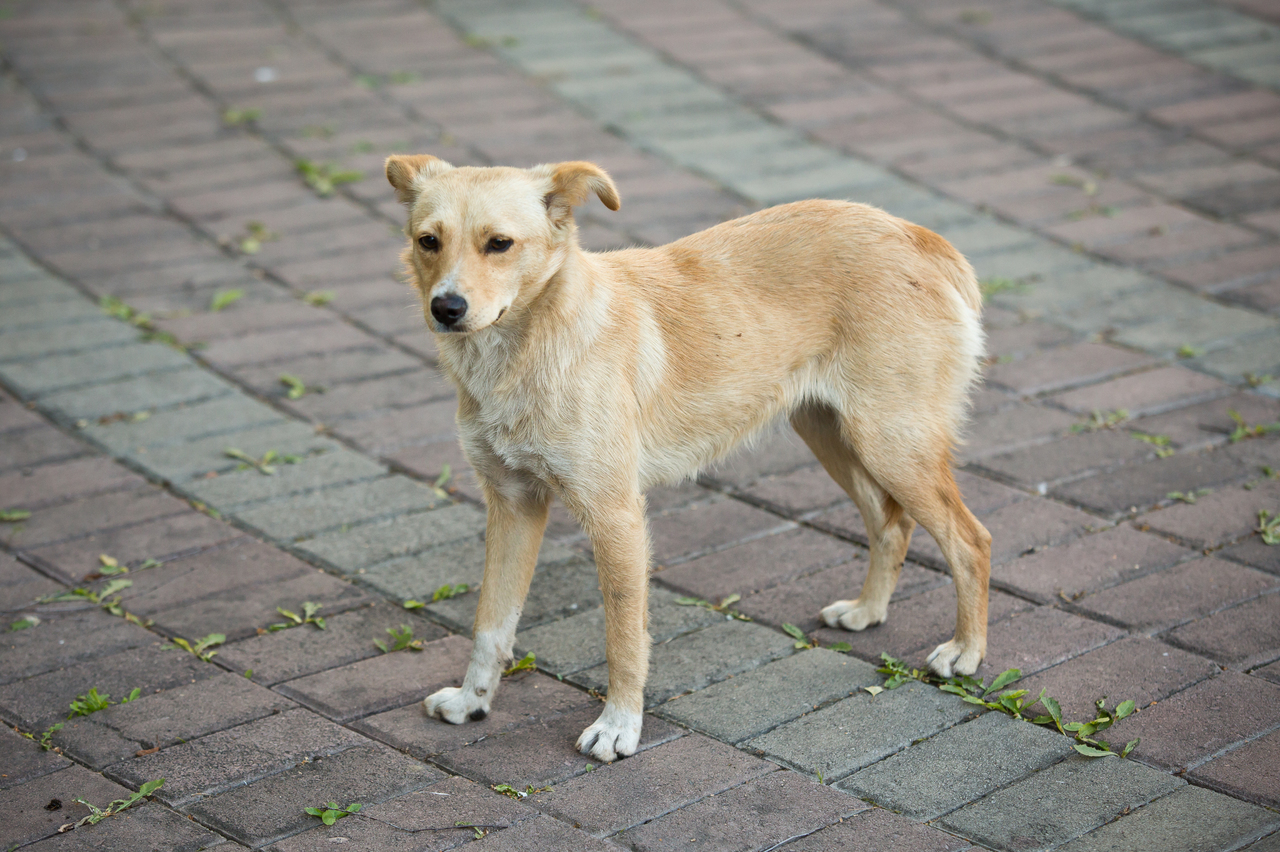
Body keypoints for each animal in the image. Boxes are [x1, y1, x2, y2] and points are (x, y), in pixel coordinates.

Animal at [384, 156, 993, 757]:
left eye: (500, 244)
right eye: (428, 240)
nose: (446, 307)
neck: (528, 347)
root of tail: (915, 234)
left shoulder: (616, 517)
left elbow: (624, 637)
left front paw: (619, 726)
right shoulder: (513, 506)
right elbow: (491, 623)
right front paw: (472, 702)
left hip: (892, 444)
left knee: (971, 540)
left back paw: (965, 651)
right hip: (834, 435)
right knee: (891, 525)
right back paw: (868, 612)